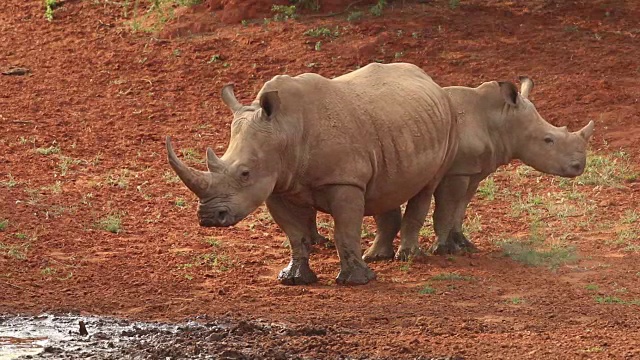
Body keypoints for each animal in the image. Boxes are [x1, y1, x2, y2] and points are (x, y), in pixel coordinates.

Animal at [166, 62, 460, 286]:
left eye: (245, 173)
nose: (208, 217)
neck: (285, 129)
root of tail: (429, 79)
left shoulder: (344, 181)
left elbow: (345, 232)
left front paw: (356, 281)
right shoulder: (278, 185)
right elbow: (296, 235)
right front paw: (293, 279)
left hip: (449, 119)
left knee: (427, 186)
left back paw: (406, 257)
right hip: (397, 125)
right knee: (386, 188)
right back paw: (376, 256)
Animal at [362, 76, 596, 262]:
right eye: (548, 140)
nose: (579, 167)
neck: (501, 118)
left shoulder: (473, 169)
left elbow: (461, 207)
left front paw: (464, 244)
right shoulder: (456, 171)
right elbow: (446, 208)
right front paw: (444, 249)